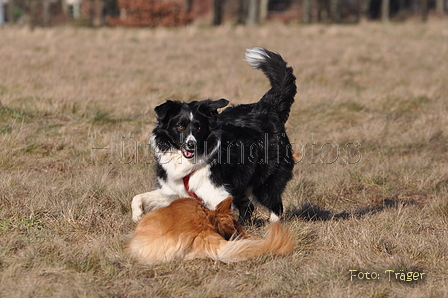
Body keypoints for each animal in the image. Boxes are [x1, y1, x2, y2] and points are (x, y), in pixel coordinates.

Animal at [131, 47, 296, 222]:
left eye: (198, 127)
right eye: (180, 126)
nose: (191, 145)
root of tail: (268, 106)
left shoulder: (218, 194)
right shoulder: (173, 191)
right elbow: (137, 197)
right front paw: (137, 216)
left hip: (265, 179)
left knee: (275, 205)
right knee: (249, 205)